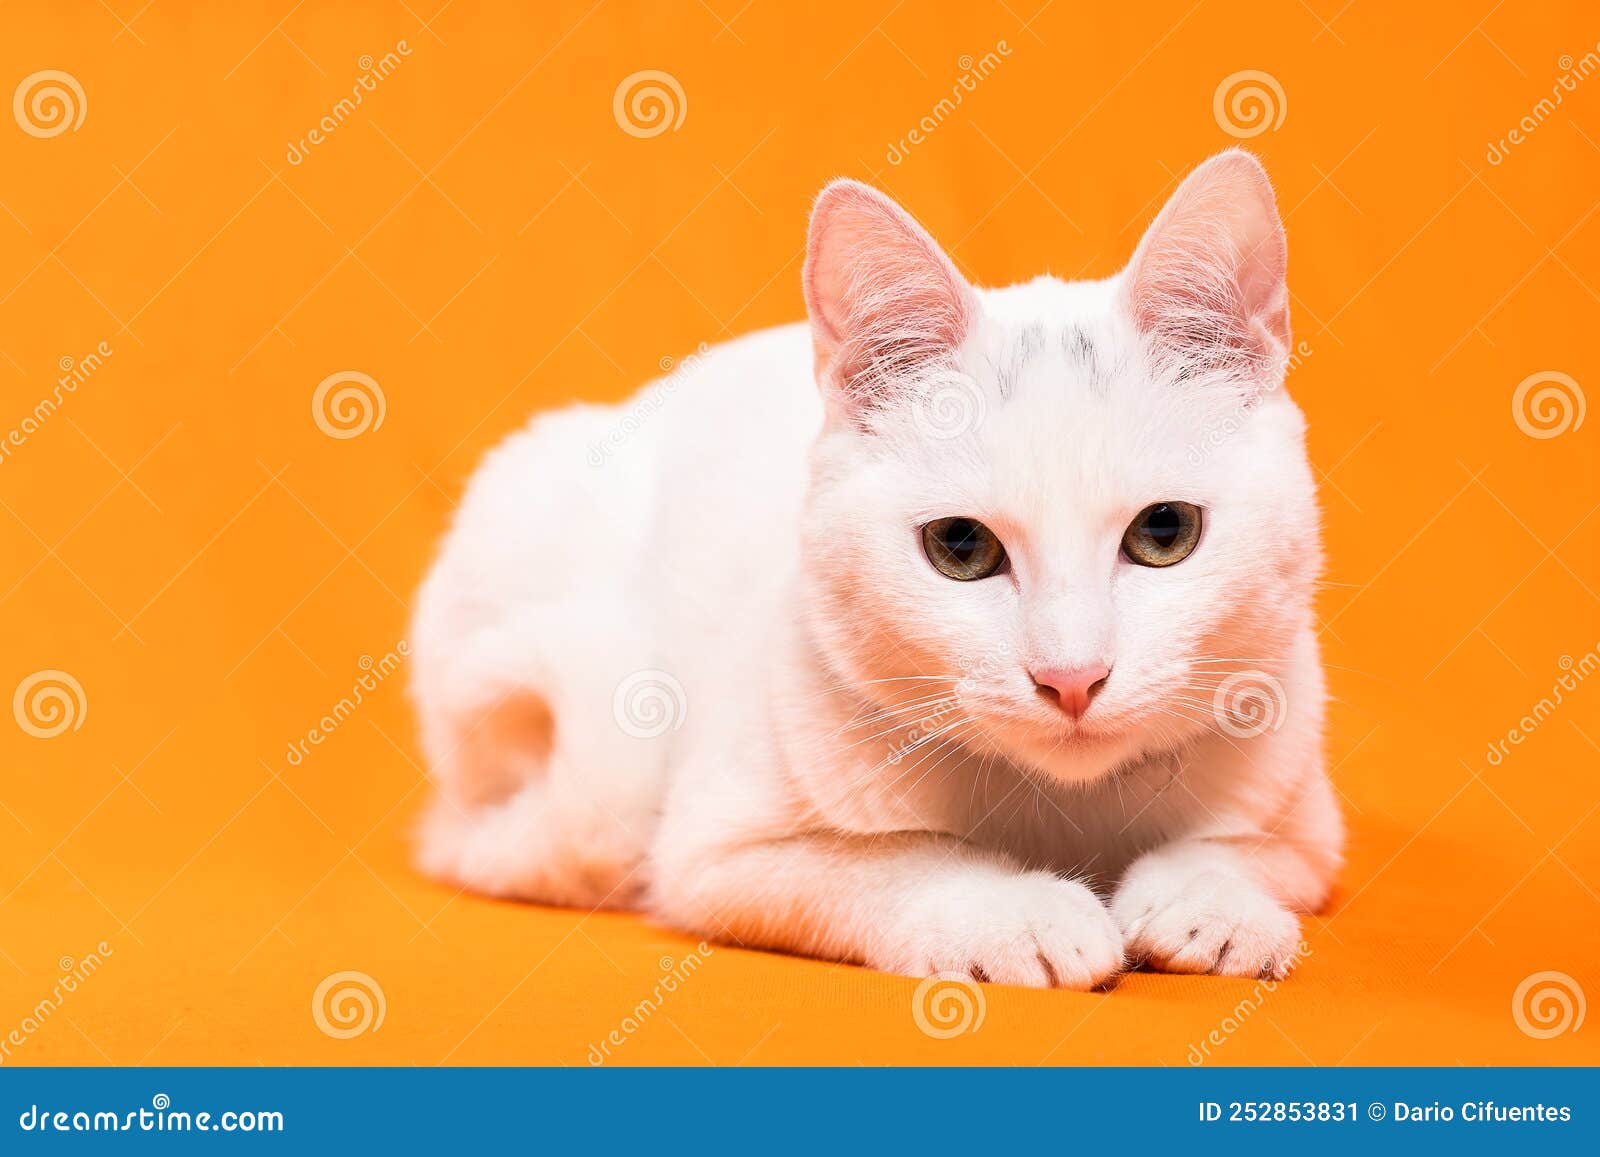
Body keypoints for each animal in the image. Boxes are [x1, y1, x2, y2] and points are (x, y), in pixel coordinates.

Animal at [409, 149, 1337, 992]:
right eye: (960, 547)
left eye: (1164, 531)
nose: (1071, 677)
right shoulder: (716, 853)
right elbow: (899, 861)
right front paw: (1014, 911)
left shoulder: (1309, 827)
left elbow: (1243, 849)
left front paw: (1214, 904)